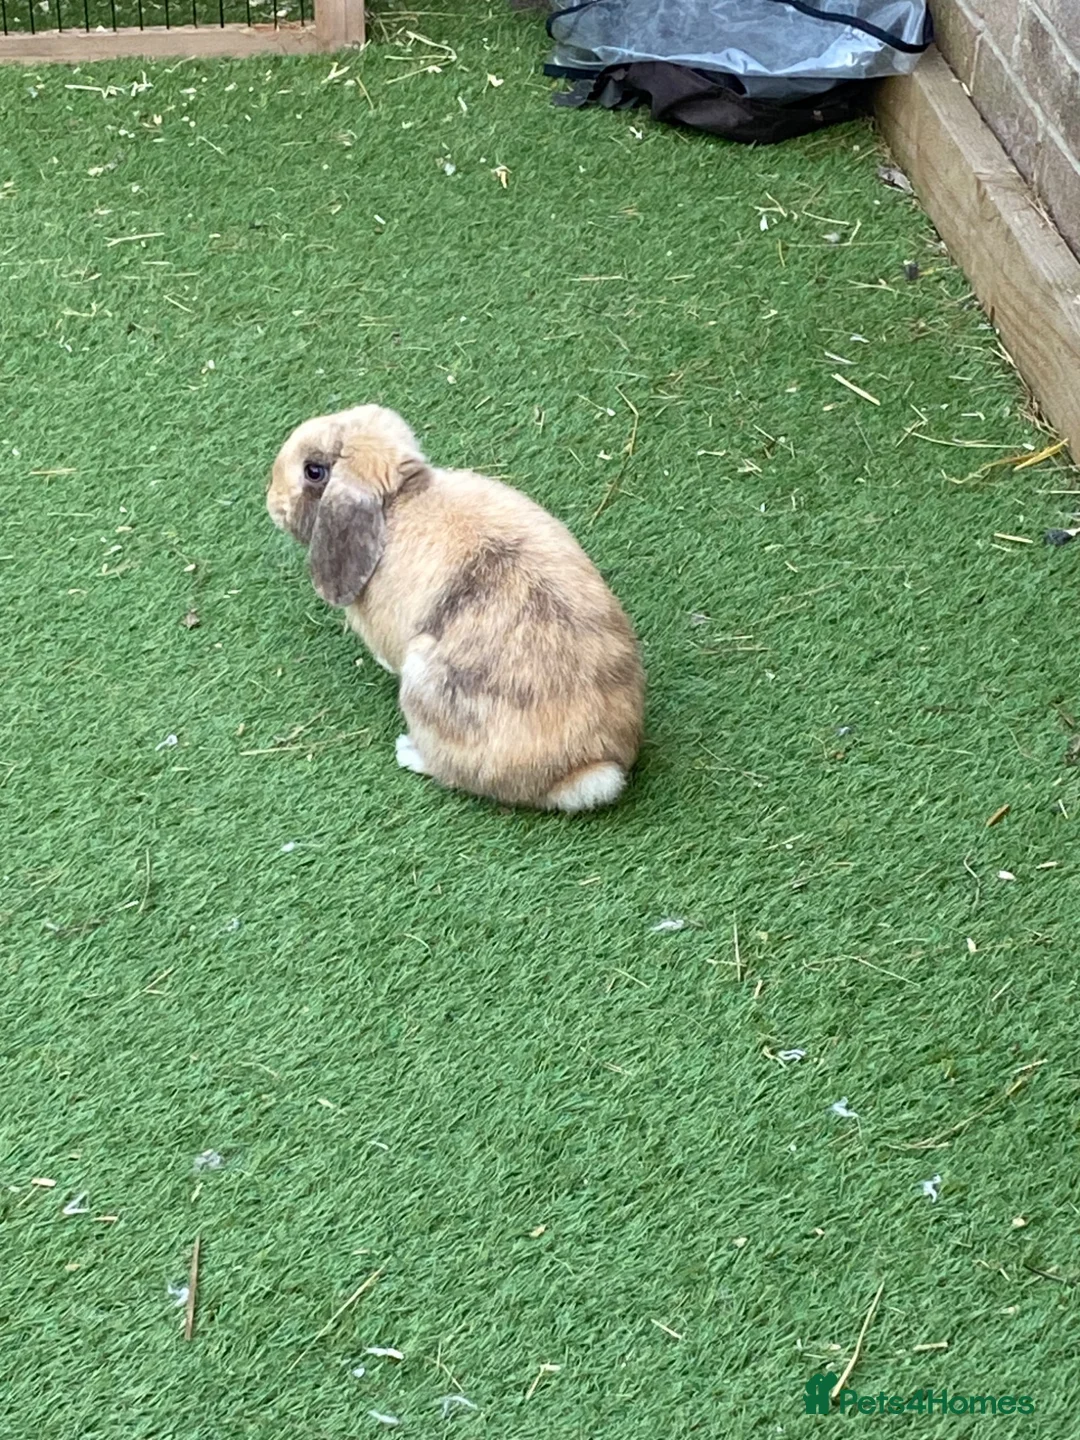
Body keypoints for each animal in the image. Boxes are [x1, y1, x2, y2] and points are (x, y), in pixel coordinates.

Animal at [267, 404, 644, 812]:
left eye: (314, 471)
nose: (271, 499)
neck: (398, 500)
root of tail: (587, 767)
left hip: (422, 683)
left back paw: (409, 752)